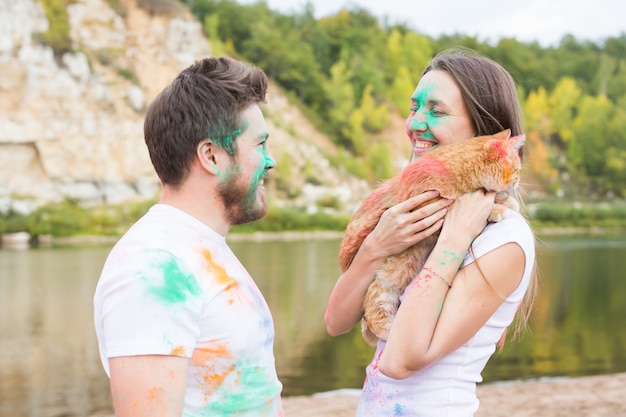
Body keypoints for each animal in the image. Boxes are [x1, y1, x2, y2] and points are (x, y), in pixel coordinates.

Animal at [336, 129, 520, 344]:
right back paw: (390, 331)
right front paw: (497, 208)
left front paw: (507, 201)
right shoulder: (431, 212)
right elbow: (456, 206)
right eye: (517, 169)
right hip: (385, 284)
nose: (518, 181)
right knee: (374, 311)